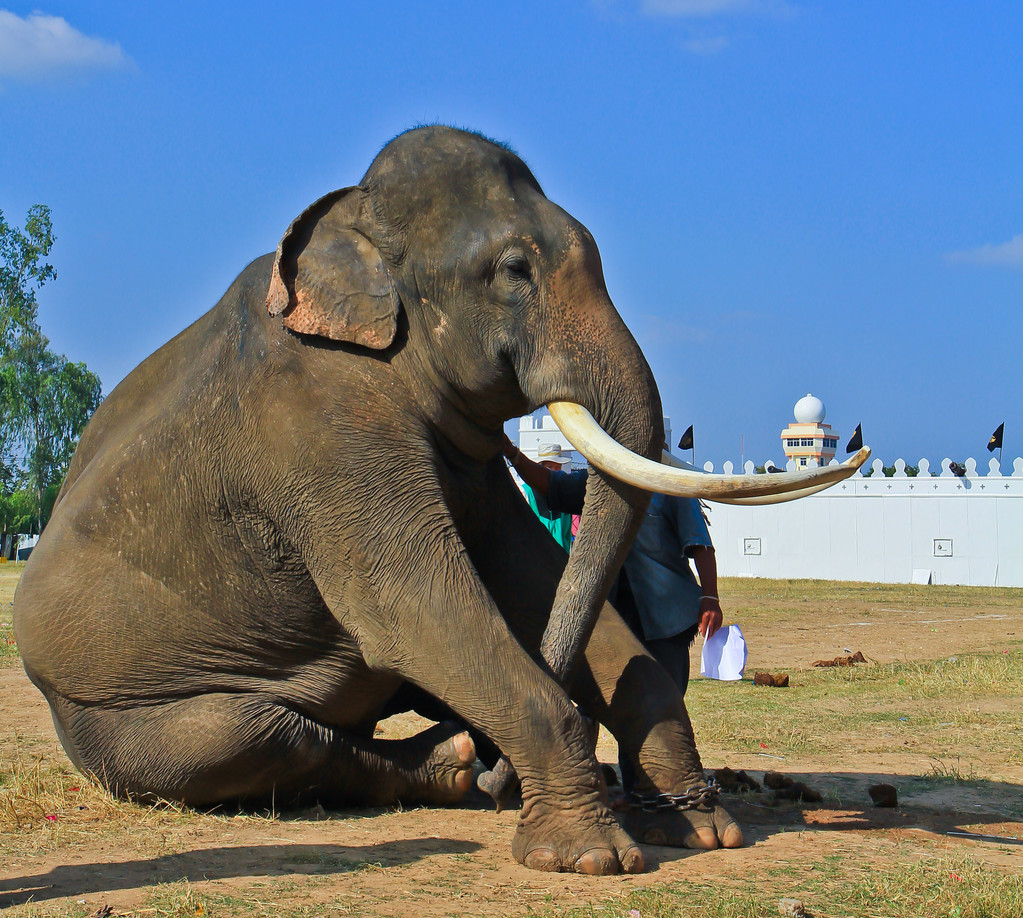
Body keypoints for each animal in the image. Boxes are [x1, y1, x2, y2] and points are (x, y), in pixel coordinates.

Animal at [14, 123, 863, 876]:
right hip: (105, 715)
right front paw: (590, 857)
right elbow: (415, 606)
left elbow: (530, 583)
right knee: (239, 741)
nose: (500, 780)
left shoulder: (464, 464)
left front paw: (702, 831)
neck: (349, 223)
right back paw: (453, 764)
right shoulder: (321, 421)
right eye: (514, 269)